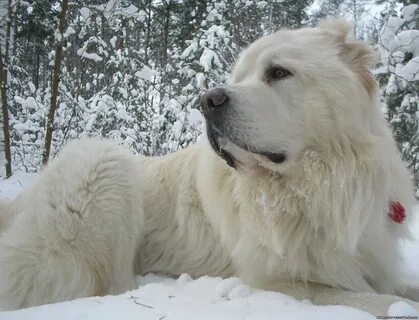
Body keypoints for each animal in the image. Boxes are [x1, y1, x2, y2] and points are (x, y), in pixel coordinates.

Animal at [0, 20, 419, 316]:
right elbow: (374, 300)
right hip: (105, 162)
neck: (318, 182)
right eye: (239, 78)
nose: (207, 100)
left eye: (278, 73)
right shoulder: (279, 280)